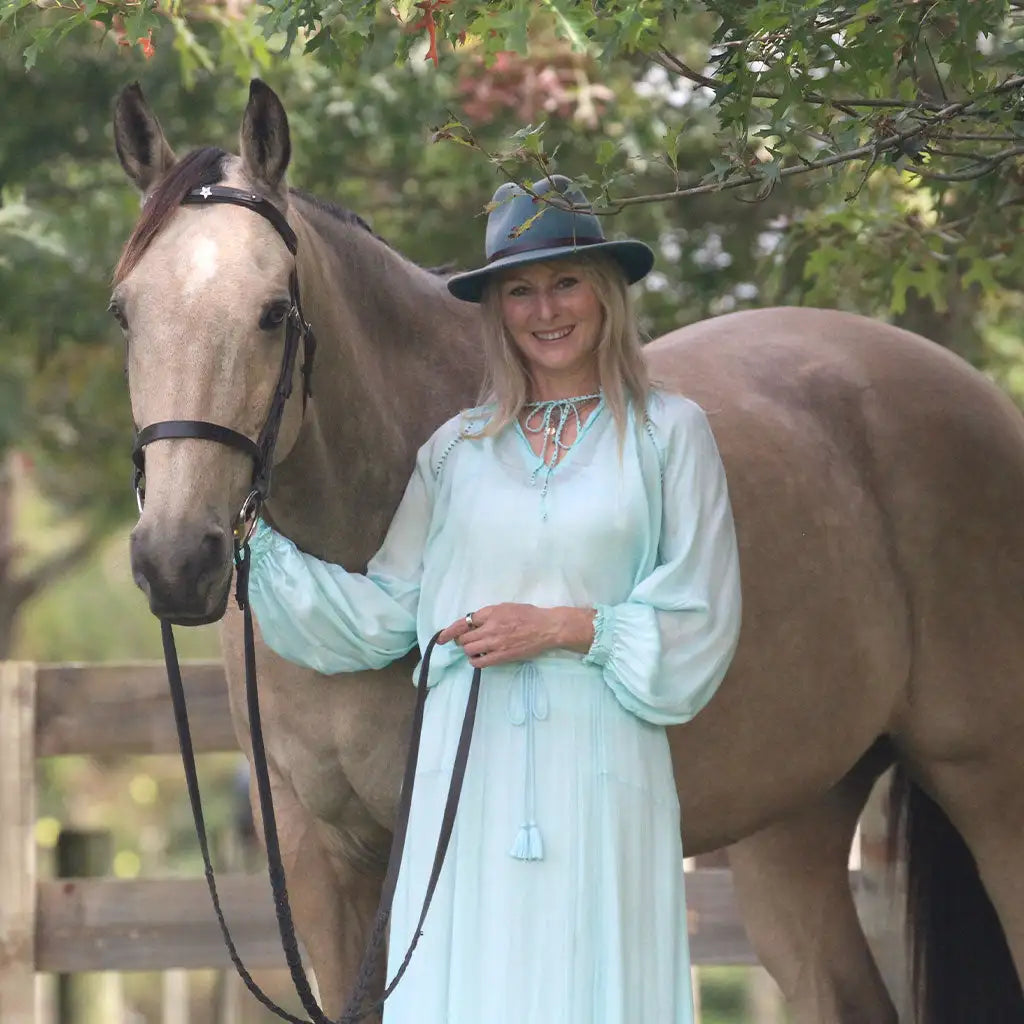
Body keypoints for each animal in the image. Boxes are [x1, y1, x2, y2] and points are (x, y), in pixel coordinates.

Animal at [111, 79, 1024, 1024]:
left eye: (273, 313)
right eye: (124, 313)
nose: (175, 560)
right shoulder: (315, 857)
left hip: (992, 785)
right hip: (793, 822)